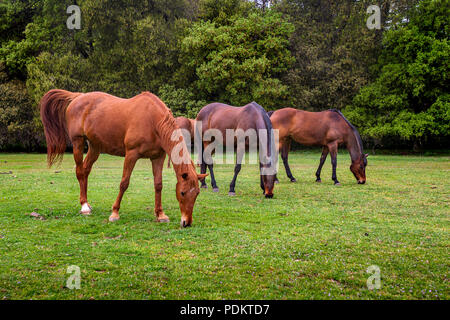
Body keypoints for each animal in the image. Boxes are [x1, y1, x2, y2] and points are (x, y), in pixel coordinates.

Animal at [39, 89, 207, 226]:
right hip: (78, 143)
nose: (186, 222)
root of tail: (78, 97)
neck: (153, 120)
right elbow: (124, 183)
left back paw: (87, 203)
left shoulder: (158, 157)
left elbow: (158, 184)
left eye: (197, 194)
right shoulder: (131, 155)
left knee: (86, 171)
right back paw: (84, 206)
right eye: (183, 193)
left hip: (95, 147)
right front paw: (114, 213)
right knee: (80, 172)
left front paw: (160, 215)